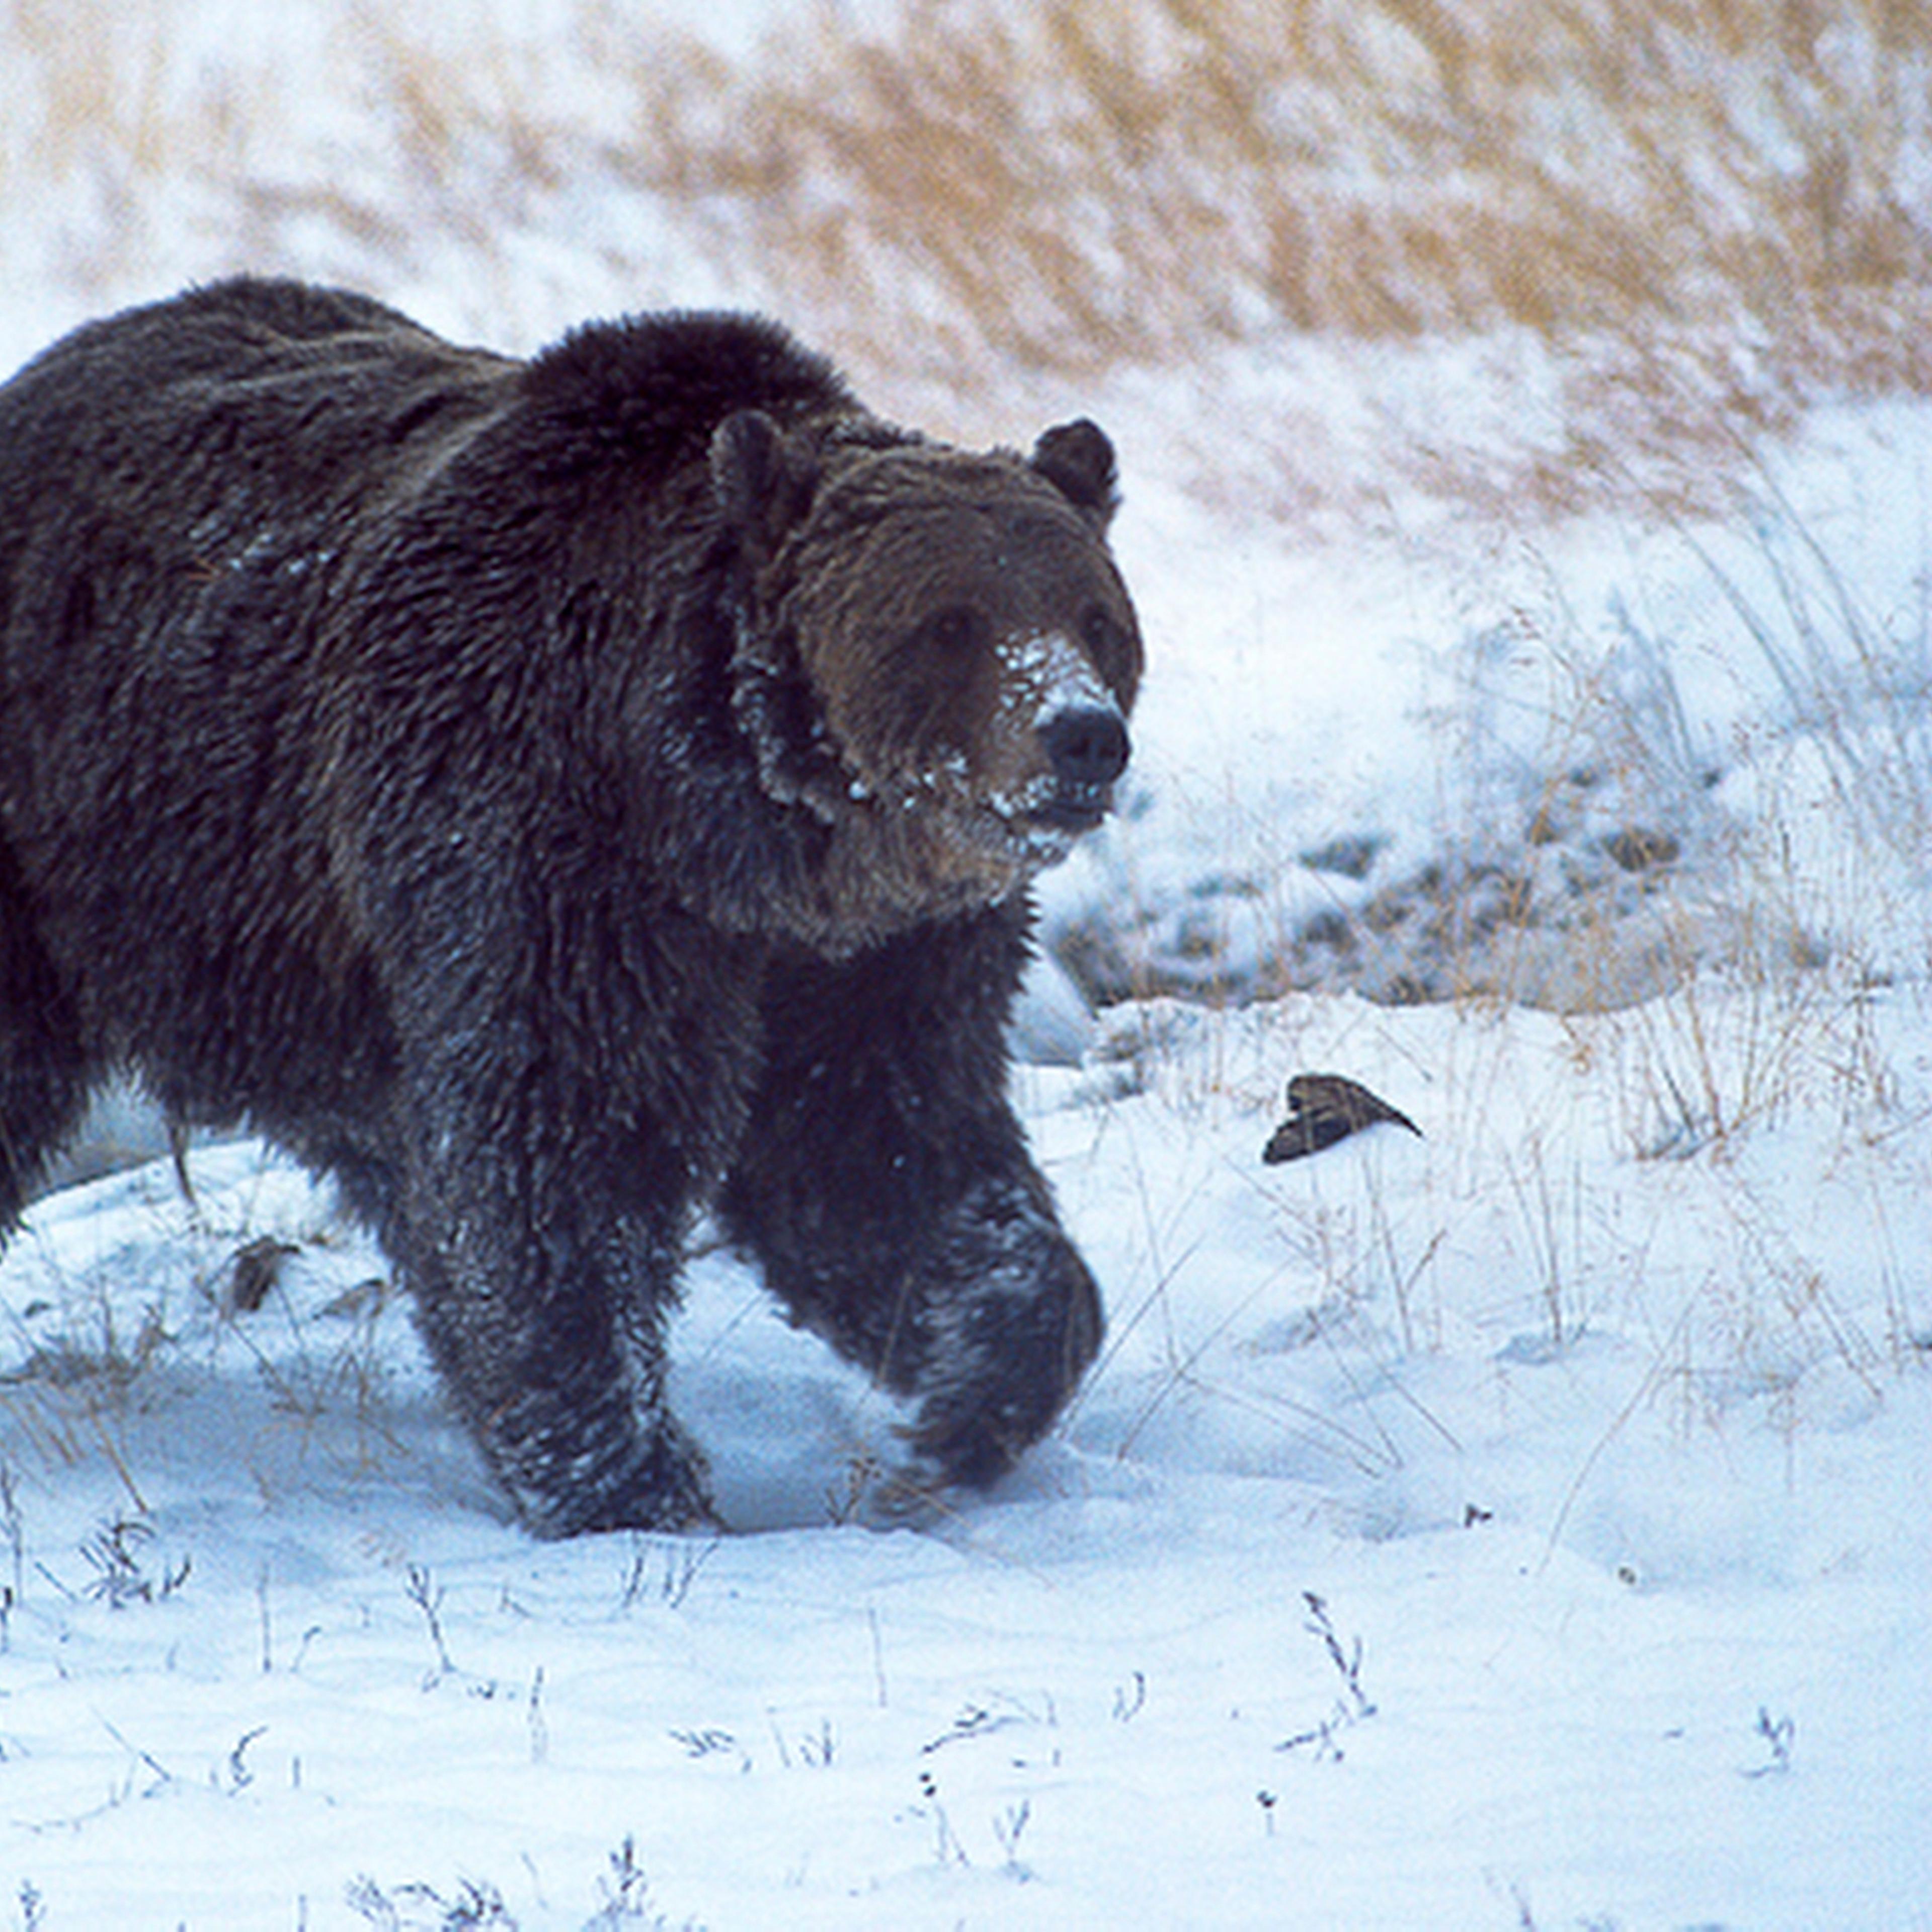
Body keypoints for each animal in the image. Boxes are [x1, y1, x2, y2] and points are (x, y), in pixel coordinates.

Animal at [0, 277, 1141, 1536]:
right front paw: (631, 1479)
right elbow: (560, 1155)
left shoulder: (872, 958)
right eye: (949, 621)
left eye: (1095, 615)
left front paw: (962, 1406)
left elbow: (881, 1155)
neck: (746, 841)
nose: (1082, 735)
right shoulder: (538, 853)